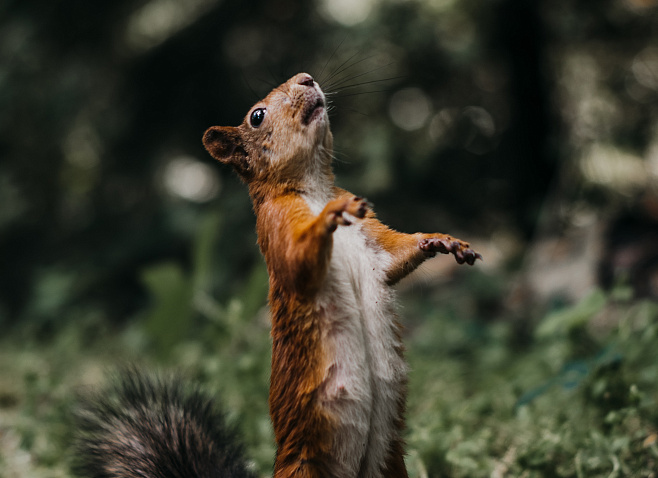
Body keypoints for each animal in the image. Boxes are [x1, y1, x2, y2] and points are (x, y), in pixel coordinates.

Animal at [74, 72, 480, 478]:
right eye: (257, 116)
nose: (306, 78)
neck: (314, 187)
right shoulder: (276, 225)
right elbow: (297, 263)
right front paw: (330, 215)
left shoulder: (373, 244)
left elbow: (395, 256)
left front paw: (441, 241)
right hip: (304, 468)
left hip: (391, 464)